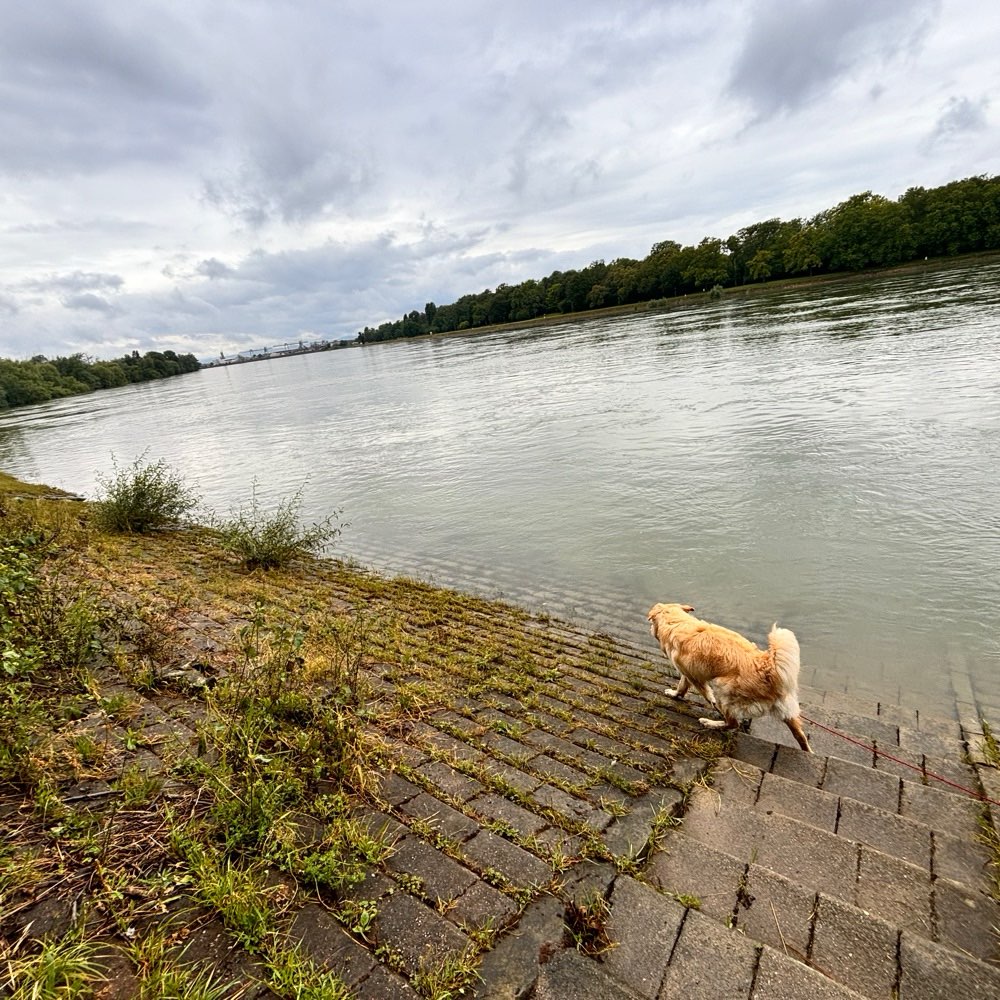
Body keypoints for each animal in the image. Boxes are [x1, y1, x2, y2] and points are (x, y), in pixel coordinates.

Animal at [648, 600, 812, 752]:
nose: (650, 628)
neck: (677, 622)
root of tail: (768, 668)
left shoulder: (693, 676)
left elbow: (700, 692)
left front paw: (677, 695)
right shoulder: (689, 673)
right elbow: (683, 686)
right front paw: (676, 695)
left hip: (722, 688)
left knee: (733, 723)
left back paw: (711, 723)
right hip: (786, 710)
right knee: (800, 736)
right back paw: (808, 752)